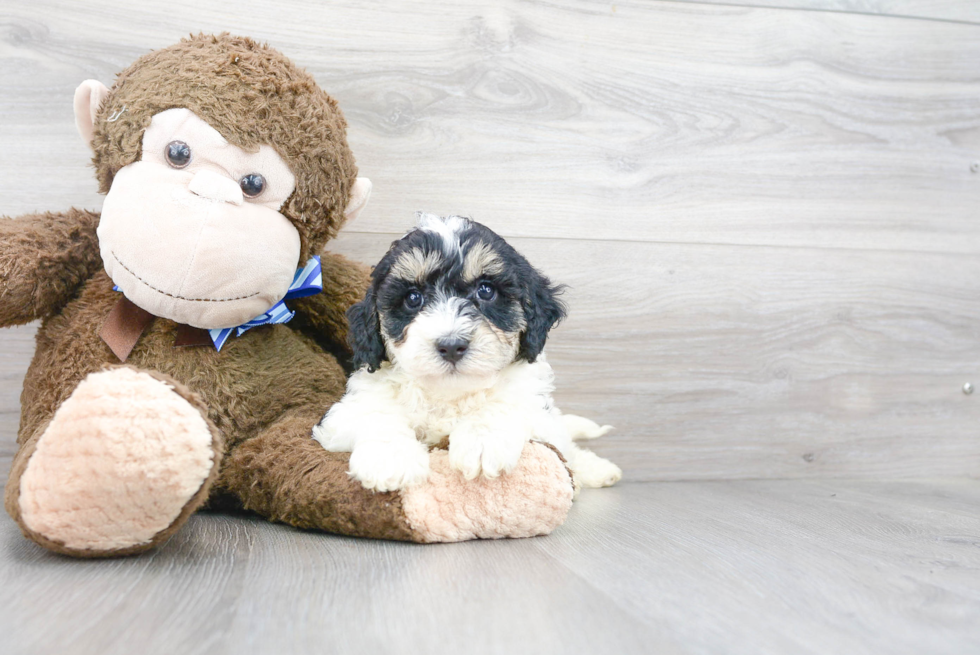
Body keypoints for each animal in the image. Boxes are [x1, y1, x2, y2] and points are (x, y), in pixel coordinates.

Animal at [314, 214, 620, 492]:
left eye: (486, 291)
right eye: (413, 298)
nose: (451, 346)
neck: (449, 394)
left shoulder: (534, 406)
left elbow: (505, 404)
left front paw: (482, 442)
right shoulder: (339, 415)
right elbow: (374, 413)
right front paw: (389, 458)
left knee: (567, 447)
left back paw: (596, 470)